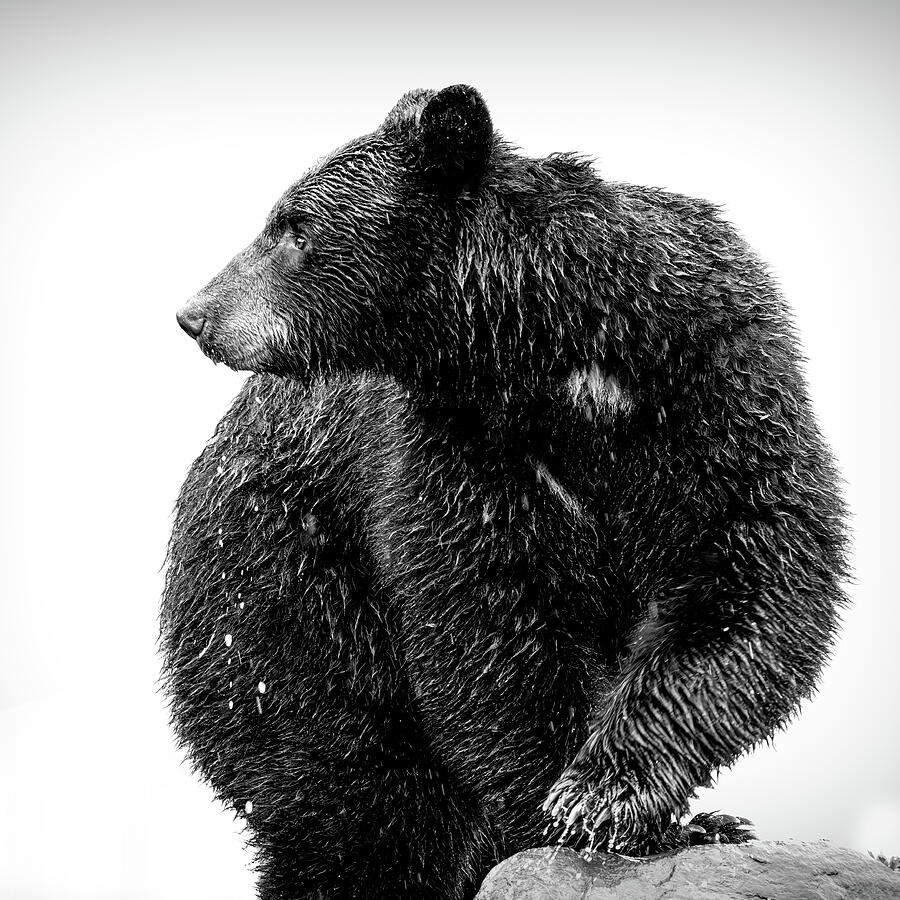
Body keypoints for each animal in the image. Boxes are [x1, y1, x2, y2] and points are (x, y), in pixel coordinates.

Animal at [163, 85, 849, 899]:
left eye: (294, 226)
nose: (195, 314)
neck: (549, 354)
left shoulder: (715, 384)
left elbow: (751, 569)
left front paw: (611, 796)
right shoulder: (457, 450)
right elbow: (486, 623)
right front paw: (569, 807)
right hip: (284, 598)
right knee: (357, 797)